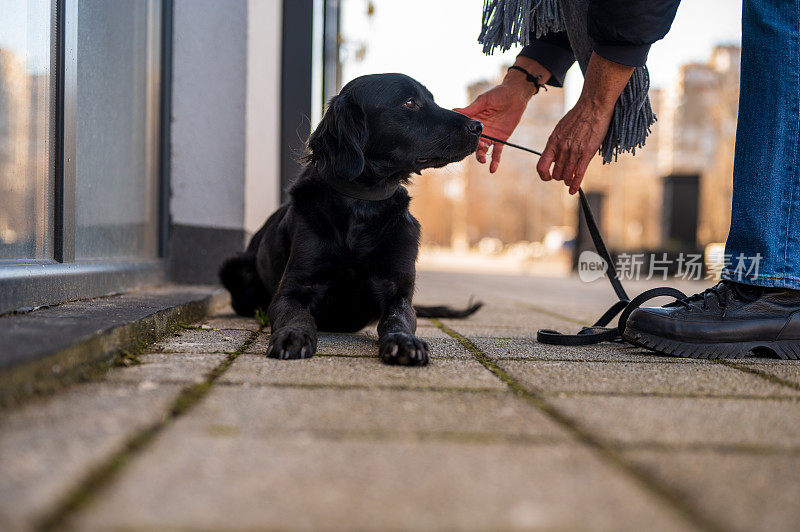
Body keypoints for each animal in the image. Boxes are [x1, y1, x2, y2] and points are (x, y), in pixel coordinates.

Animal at [219, 71, 482, 366]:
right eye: (410, 102)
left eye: (431, 99)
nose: (478, 126)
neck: (362, 205)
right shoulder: (293, 288)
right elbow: (296, 315)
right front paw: (292, 335)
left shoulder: (398, 293)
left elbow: (398, 320)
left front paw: (404, 342)